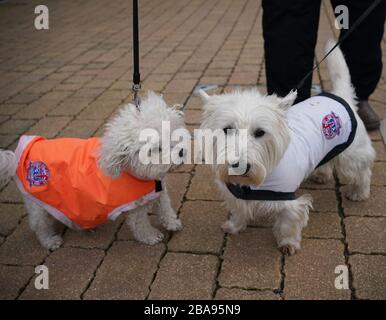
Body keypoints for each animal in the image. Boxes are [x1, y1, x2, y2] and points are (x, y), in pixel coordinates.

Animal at [0, 92, 188, 250]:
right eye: (156, 149)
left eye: (172, 134)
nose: (181, 152)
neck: (132, 171)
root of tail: (17, 158)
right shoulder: (136, 207)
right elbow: (140, 225)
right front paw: (151, 237)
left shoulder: (158, 190)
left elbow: (165, 206)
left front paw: (172, 223)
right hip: (37, 204)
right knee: (39, 225)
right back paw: (50, 241)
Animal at [199, 40, 374, 255]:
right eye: (227, 129)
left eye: (260, 132)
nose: (240, 166)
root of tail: (340, 96)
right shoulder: (233, 192)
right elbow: (238, 209)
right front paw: (234, 226)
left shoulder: (288, 201)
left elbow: (288, 223)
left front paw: (288, 244)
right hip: (326, 149)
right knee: (326, 161)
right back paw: (322, 175)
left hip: (352, 154)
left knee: (362, 171)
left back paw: (359, 193)